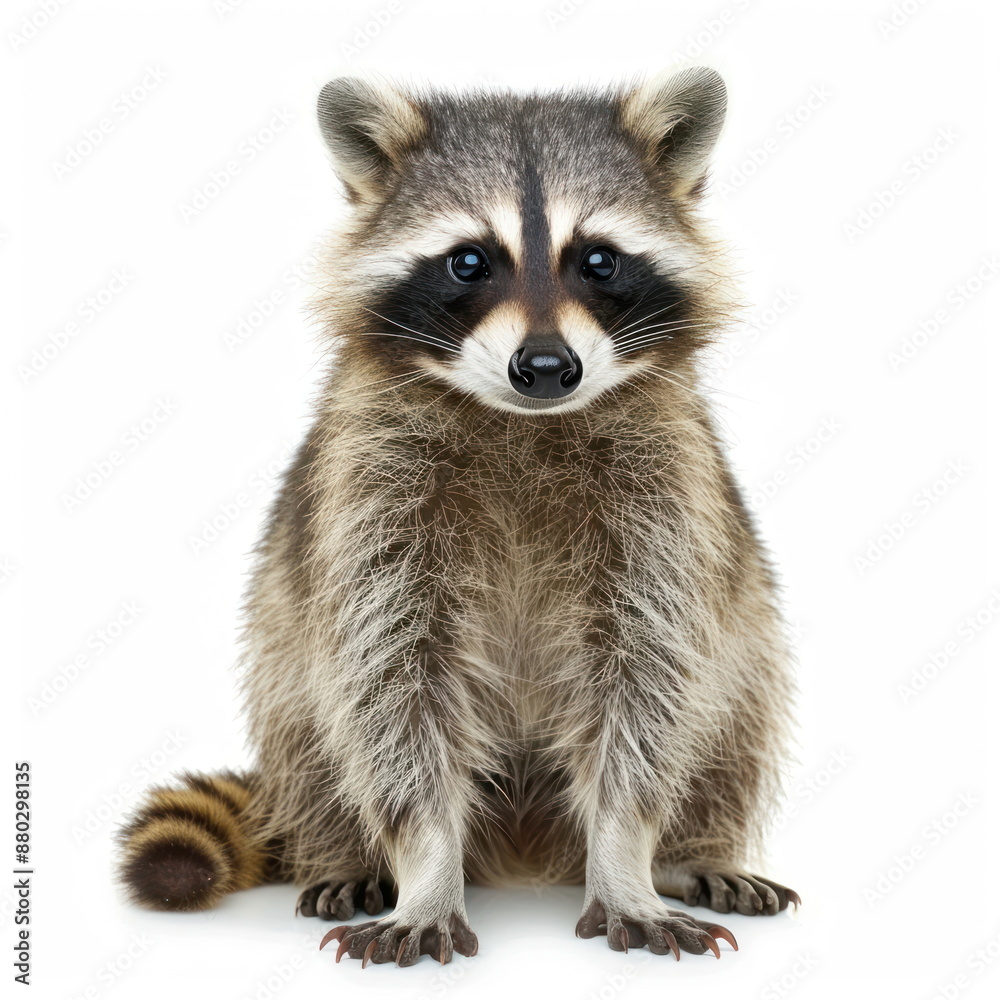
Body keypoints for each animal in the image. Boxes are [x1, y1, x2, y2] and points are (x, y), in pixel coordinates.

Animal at [116, 67, 799, 967]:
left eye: (599, 260)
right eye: (469, 261)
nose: (545, 367)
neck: (524, 421)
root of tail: (525, 853)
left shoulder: (666, 498)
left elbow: (650, 681)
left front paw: (627, 858)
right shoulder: (371, 492)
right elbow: (388, 686)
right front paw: (426, 867)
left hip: (744, 632)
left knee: (737, 712)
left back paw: (692, 852)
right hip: (282, 657)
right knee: (304, 721)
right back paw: (345, 852)